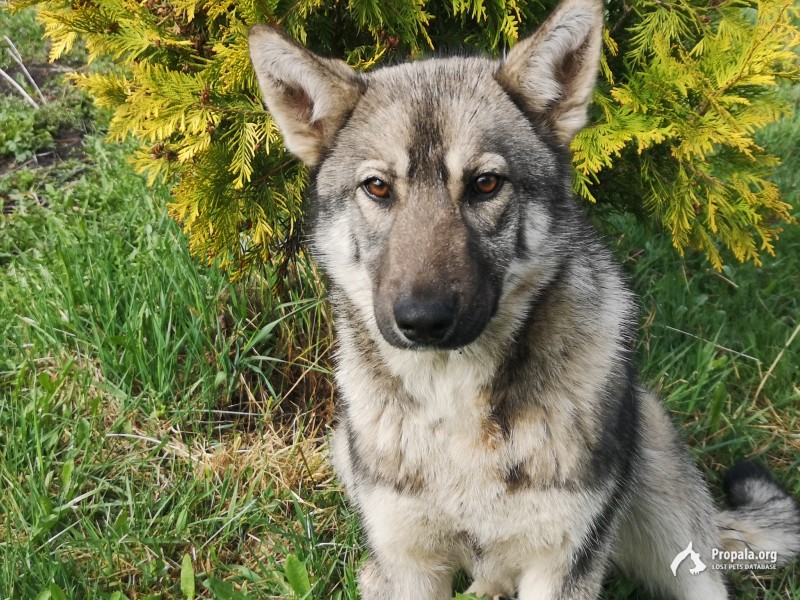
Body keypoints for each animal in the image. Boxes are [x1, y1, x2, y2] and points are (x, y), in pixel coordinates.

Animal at [247, 2, 796, 596]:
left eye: (486, 184)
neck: (455, 404)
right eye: (377, 187)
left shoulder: (560, 566)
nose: (422, 320)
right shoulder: (410, 563)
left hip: (660, 486)